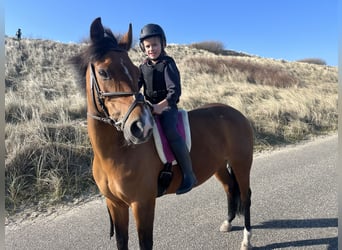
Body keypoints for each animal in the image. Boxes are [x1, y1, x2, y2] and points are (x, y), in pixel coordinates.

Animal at [71, 16, 254, 249]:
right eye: (104, 72)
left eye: (135, 72)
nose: (141, 127)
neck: (114, 154)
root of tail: (237, 114)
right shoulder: (115, 205)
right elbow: (122, 241)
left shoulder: (142, 204)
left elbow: (145, 243)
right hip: (219, 165)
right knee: (230, 188)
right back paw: (228, 223)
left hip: (241, 164)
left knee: (246, 196)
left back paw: (246, 239)